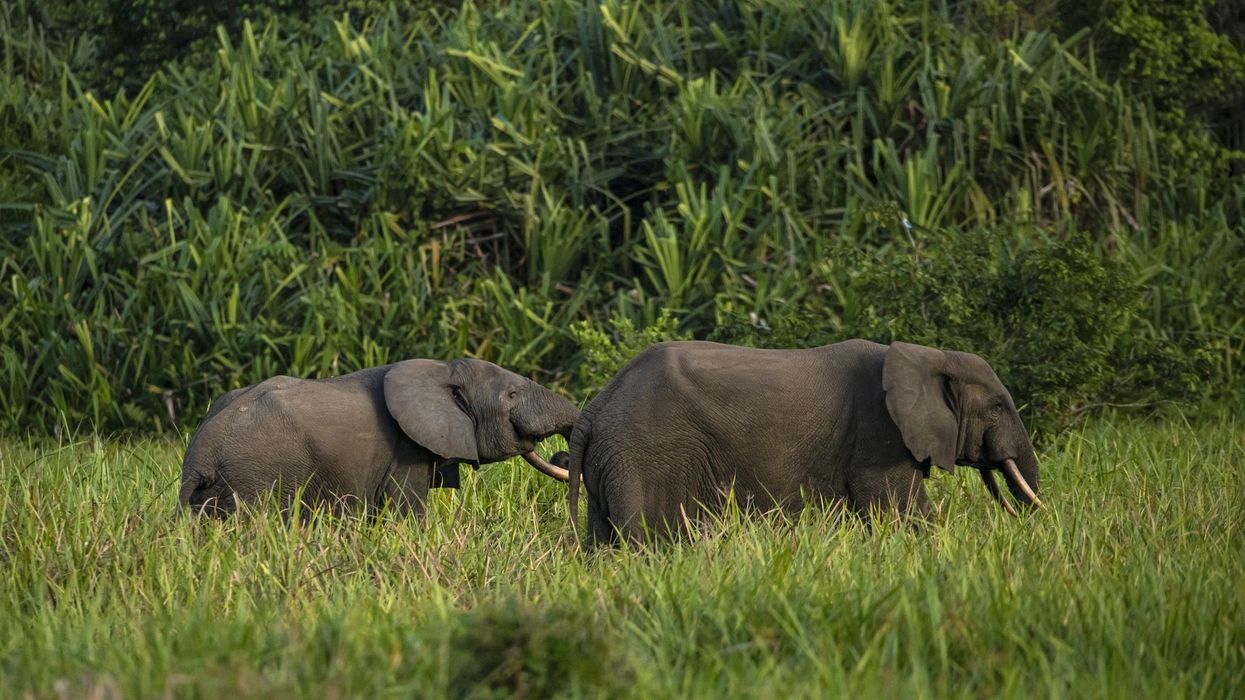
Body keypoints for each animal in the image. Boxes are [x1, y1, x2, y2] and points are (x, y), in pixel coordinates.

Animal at [180, 358, 580, 517]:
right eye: (511, 395)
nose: (560, 456)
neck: (443, 368)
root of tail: (199, 458)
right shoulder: (406, 449)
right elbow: (407, 512)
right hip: (256, 479)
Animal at [568, 339, 1041, 544]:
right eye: (997, 407)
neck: (927, 355)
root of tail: (593, 410)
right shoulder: (878, 436)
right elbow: (902, 512)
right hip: (643, 456)